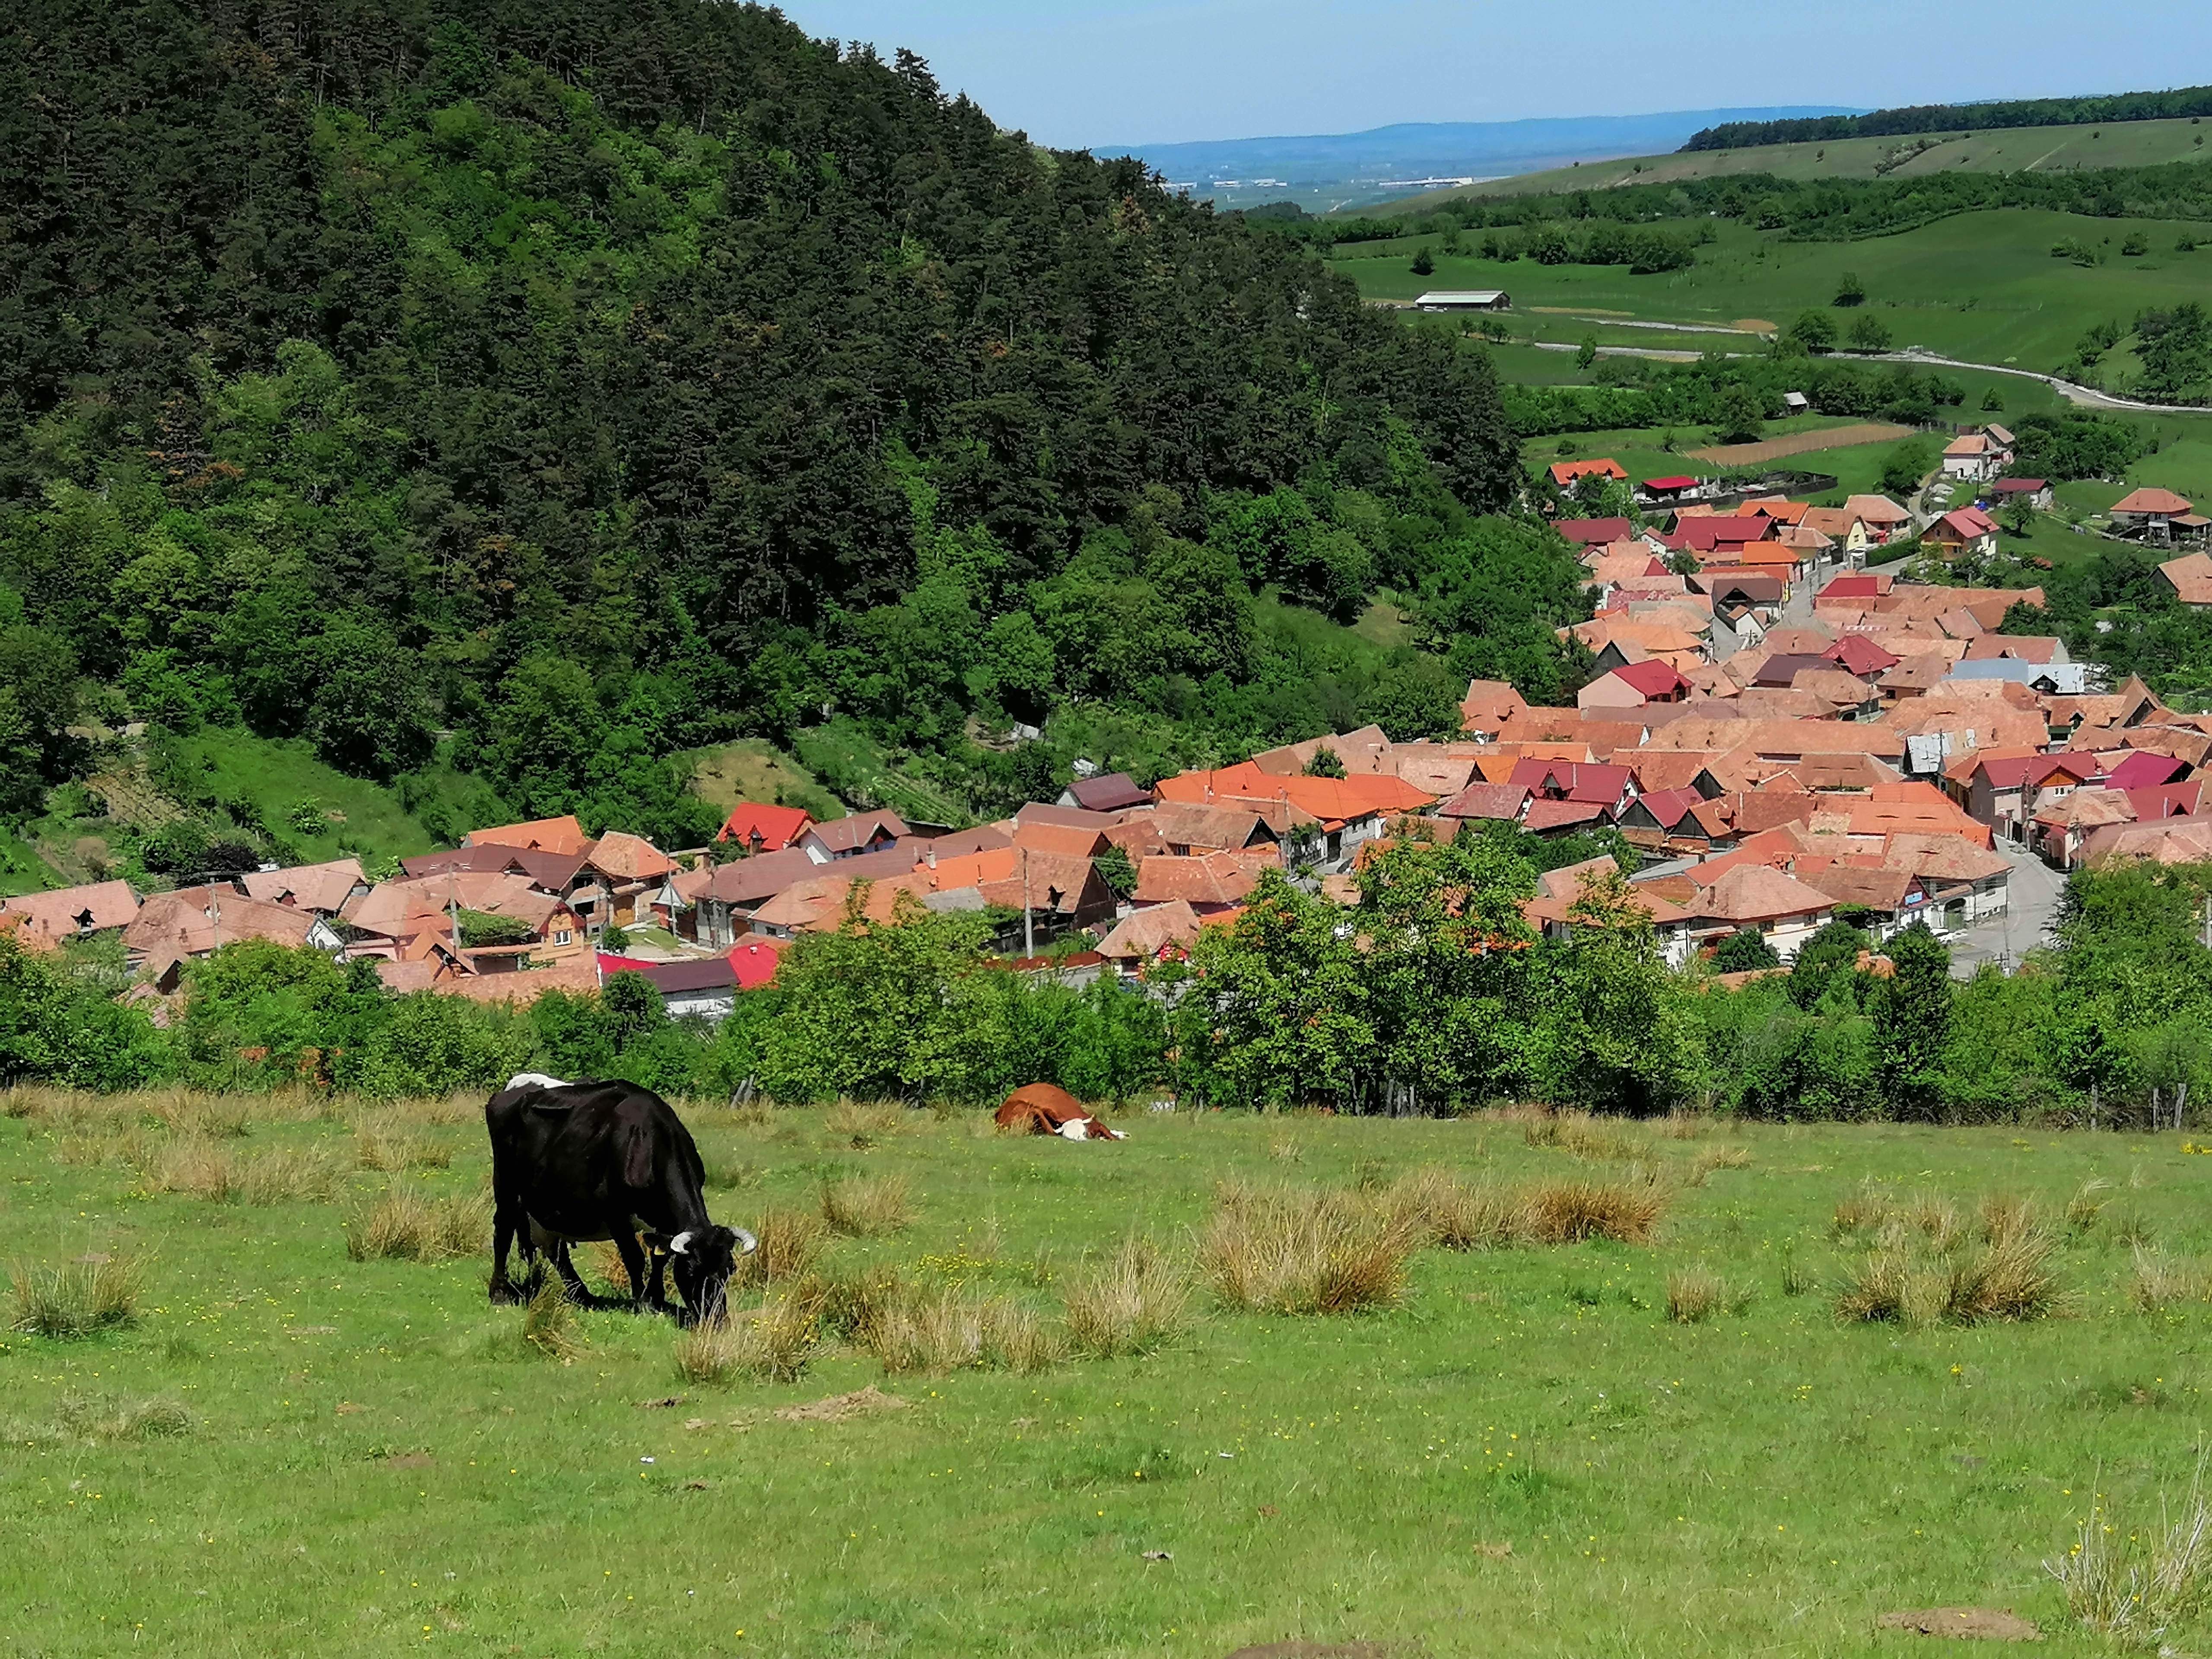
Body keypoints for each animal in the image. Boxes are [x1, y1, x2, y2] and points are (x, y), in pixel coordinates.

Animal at [484, 1074, 755, 1325]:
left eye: (730, 1269)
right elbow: (635, 1258)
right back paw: (499, 1292)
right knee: (504, 1231)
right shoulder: (616, 1215)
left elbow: (660, 1257)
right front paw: (643, 1302)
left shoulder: (662, 1223)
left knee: (555, 1251)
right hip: (507, 1185)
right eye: (690, 1271)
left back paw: (582, 1295)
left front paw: (657, 1298)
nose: (716, 1319)